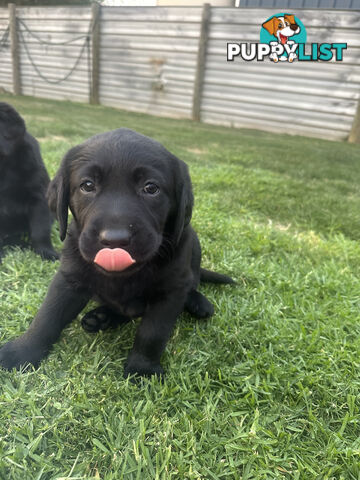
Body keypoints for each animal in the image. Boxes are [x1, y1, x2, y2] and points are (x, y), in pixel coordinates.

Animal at [0, 129, 233, 376]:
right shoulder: (69, 278)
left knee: (193, 279)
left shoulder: (170, 291)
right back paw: (101, 318)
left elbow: (153, 333)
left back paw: (198, 302)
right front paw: (22, 351)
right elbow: (47, 316)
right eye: (87, 185)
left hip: (193, 244)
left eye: (151, 188)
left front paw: (142, 368)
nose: (114, 240)